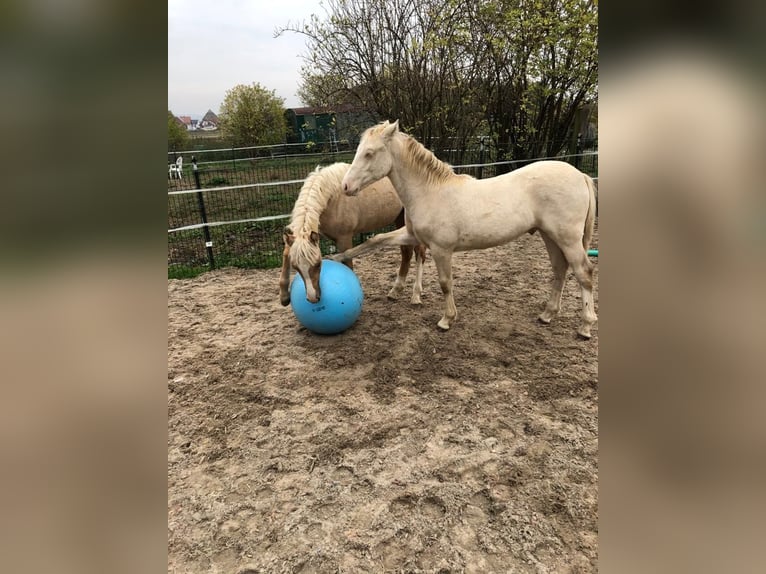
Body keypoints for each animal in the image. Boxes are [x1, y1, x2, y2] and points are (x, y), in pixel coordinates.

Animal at [279, 162, 426, 307]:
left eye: (318, 264)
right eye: (296, 267)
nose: (312, 298)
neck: (331, 197)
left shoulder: (344, 239)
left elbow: (348, 264)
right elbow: (286, 253)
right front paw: (284, 297)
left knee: (419, 253)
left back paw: (416, 295)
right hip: (400, 219)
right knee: (406, 252)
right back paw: (395, 290)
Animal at [335, 120, 597, 339]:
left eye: (369, 153)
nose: (346, 186)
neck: (430, 192)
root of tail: (580, 175)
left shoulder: (441, 249)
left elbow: (445, 283)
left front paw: (446, 320)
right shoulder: (411, 236)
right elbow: (374, 241)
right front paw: (335, 257)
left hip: (568, 239)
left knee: (584, 273)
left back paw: (585, 327)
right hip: (549, 236)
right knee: (560, 269)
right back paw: (547, 315)